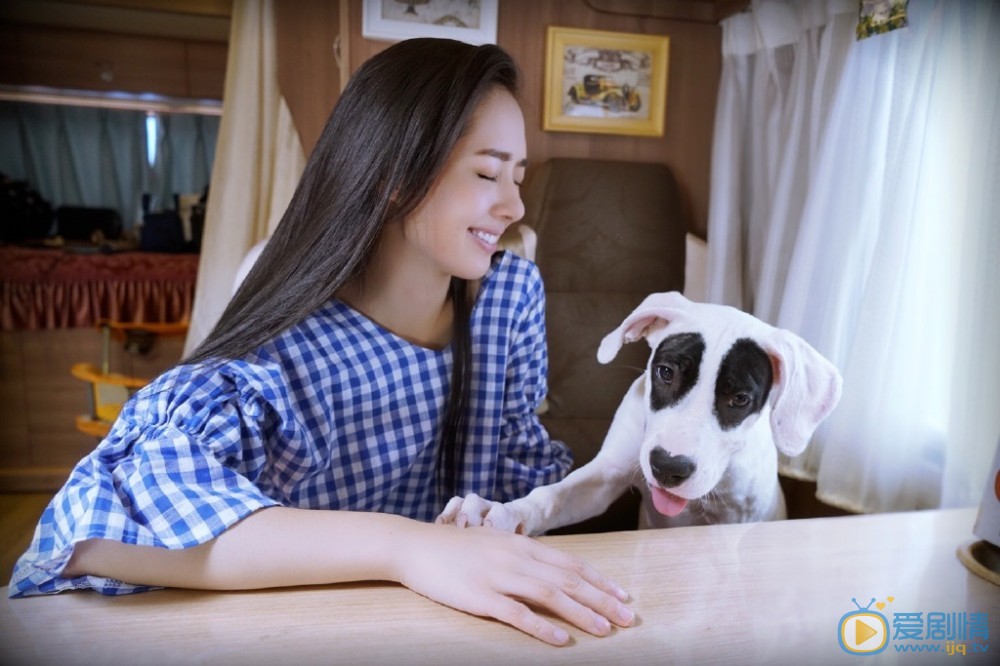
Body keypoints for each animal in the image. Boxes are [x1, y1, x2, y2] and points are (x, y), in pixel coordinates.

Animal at [438, 290, 844, 536]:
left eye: (740, 399)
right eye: (665, 372)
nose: (668, 467)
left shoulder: (740, 518)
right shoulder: (605, 476)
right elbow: (551, 495)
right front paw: (498, 512)